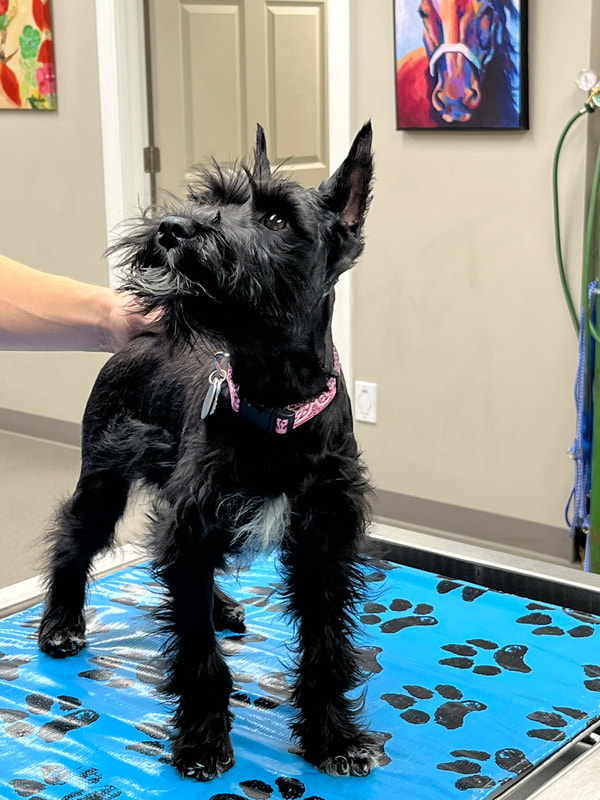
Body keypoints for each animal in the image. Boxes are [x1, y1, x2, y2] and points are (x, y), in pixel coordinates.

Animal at [37, 123, 378, 780]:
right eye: (211, 199)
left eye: (276, 219)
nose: (173, 228)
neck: (275, 407)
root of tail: (147, 334)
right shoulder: (193, 524)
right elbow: (198, 650)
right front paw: (201, 740)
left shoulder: (323, 542)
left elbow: (325, 647)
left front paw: (334, 739)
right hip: (104, 477)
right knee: (74, 539)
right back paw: (62, 625)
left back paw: (223, 608)